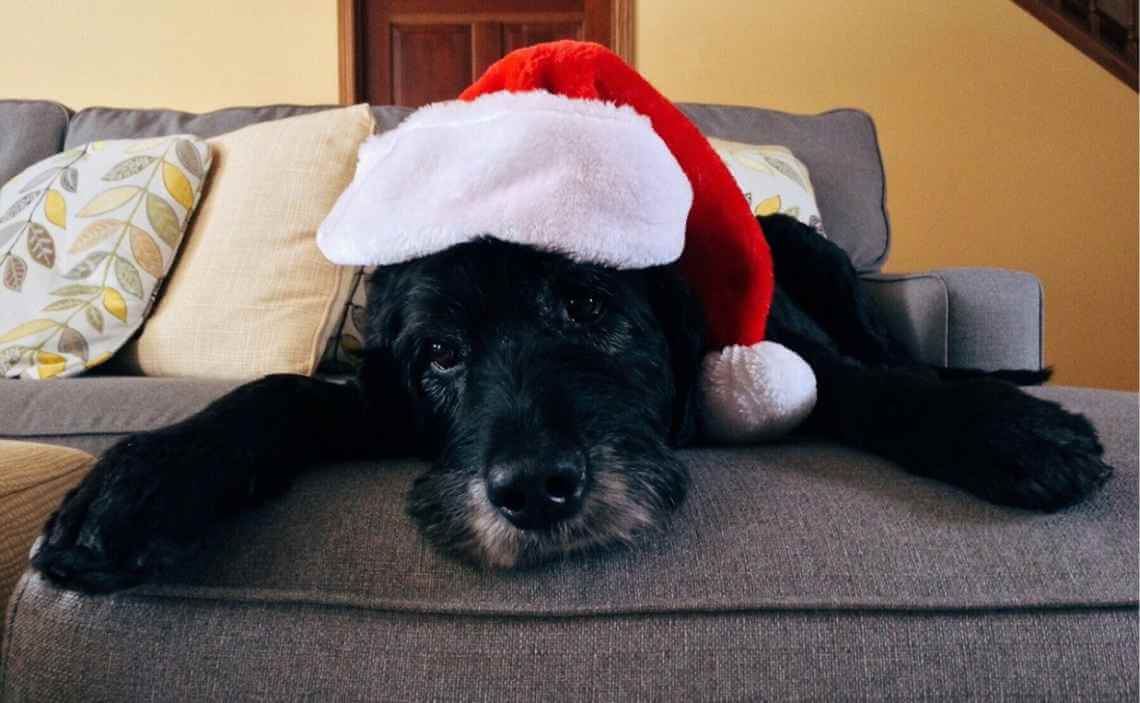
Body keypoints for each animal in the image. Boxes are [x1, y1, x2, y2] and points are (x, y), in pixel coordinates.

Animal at [31, 215, 1108, 592]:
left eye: (588, 304)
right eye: (440, 352)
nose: (535, 489)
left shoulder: (799, 361)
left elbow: (879, 387)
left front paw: (1013, 431)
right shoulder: (377, 400)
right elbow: (283, 395)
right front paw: (139, 485)